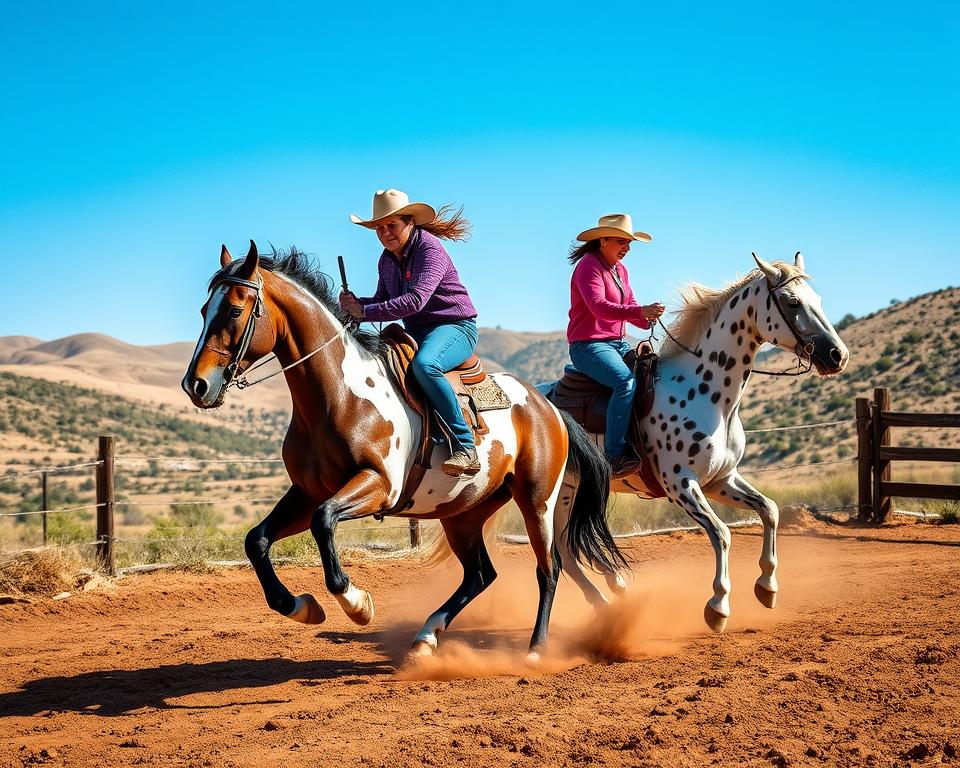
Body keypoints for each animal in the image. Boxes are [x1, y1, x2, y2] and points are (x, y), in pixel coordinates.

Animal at [180, 241, 625, 658]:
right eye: (203, 310)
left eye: (233, 311)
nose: (195, 385)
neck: (340, 396)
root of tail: (547, 406)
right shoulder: (307, 492)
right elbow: (256, 540)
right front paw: (300, 606)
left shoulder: (378, 485)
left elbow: (324, 522)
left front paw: (357, 604)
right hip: (464, 512)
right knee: (480, 575)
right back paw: (427, 635)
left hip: (536, 499)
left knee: (549, 568)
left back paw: (535, 649)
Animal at [543, 253, 849, 632]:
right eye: (792, 302)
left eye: (817, 300)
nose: (837, 355)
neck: (708, 394)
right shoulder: (681, 485)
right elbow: (722, 533)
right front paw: (718, 606)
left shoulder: (721, 480)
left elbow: (770, 510)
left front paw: (767, 586)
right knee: (559, 548)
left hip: (570, 491)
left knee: (565, 548)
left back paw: (611, 593)